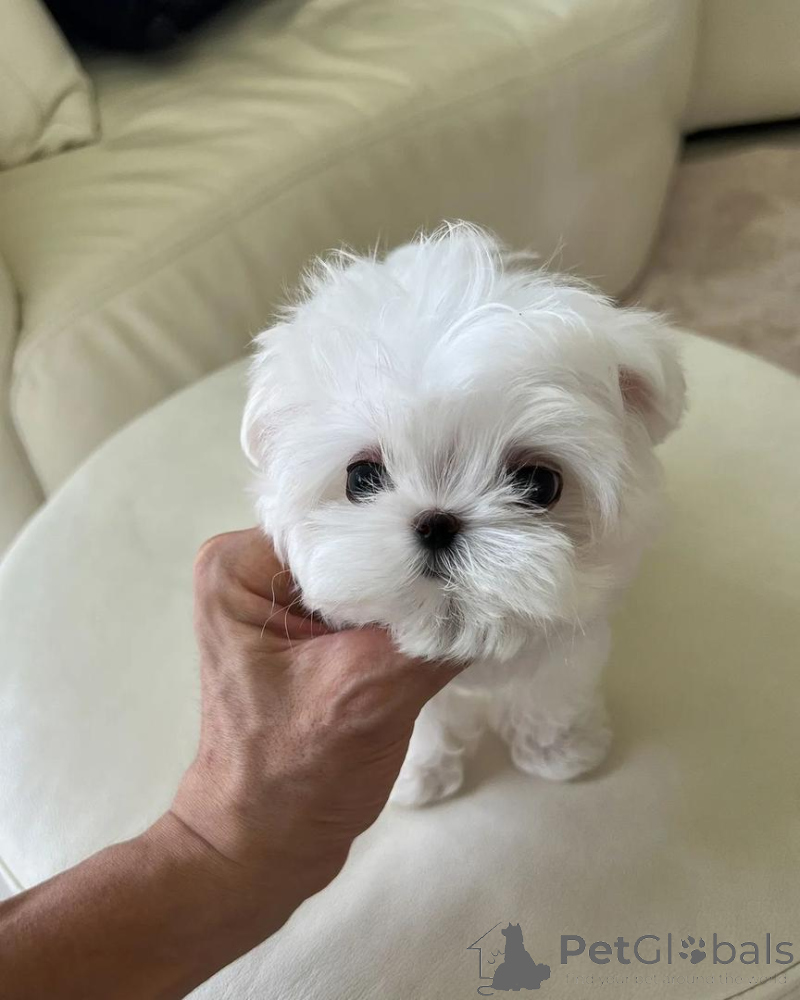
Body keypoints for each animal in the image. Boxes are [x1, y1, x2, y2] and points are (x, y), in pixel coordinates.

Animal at [241, 223, 685, 806]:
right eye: (361, 478)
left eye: (540, 484)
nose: (437, 521)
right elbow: (426, 721)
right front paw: (420, 775)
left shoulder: (570, 638)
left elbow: (550, 690)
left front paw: (557, 750)